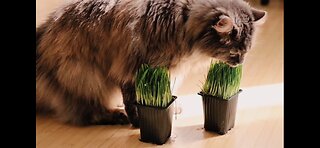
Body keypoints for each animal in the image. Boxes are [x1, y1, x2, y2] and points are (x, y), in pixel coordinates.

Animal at [35, 0, 264, 127]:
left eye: (246, 51)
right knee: (88, 112)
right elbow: (133, 100)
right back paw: (117, 115)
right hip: (84, 74)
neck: (183, 20)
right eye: (235, 53)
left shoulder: (166, 71)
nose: (240, 63)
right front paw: (137, 122)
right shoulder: (132, 67)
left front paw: (173, 105)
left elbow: (166, 90)